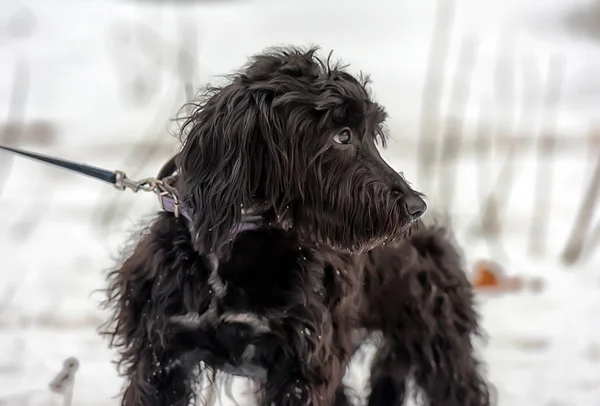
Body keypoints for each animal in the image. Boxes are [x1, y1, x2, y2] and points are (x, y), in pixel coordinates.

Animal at [103, 46, 490, 404]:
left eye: (371, 133)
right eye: (342, 135)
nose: (415, 207)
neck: (241, 240)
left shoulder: (302, 364)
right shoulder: (161, 358)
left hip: (437, 340)